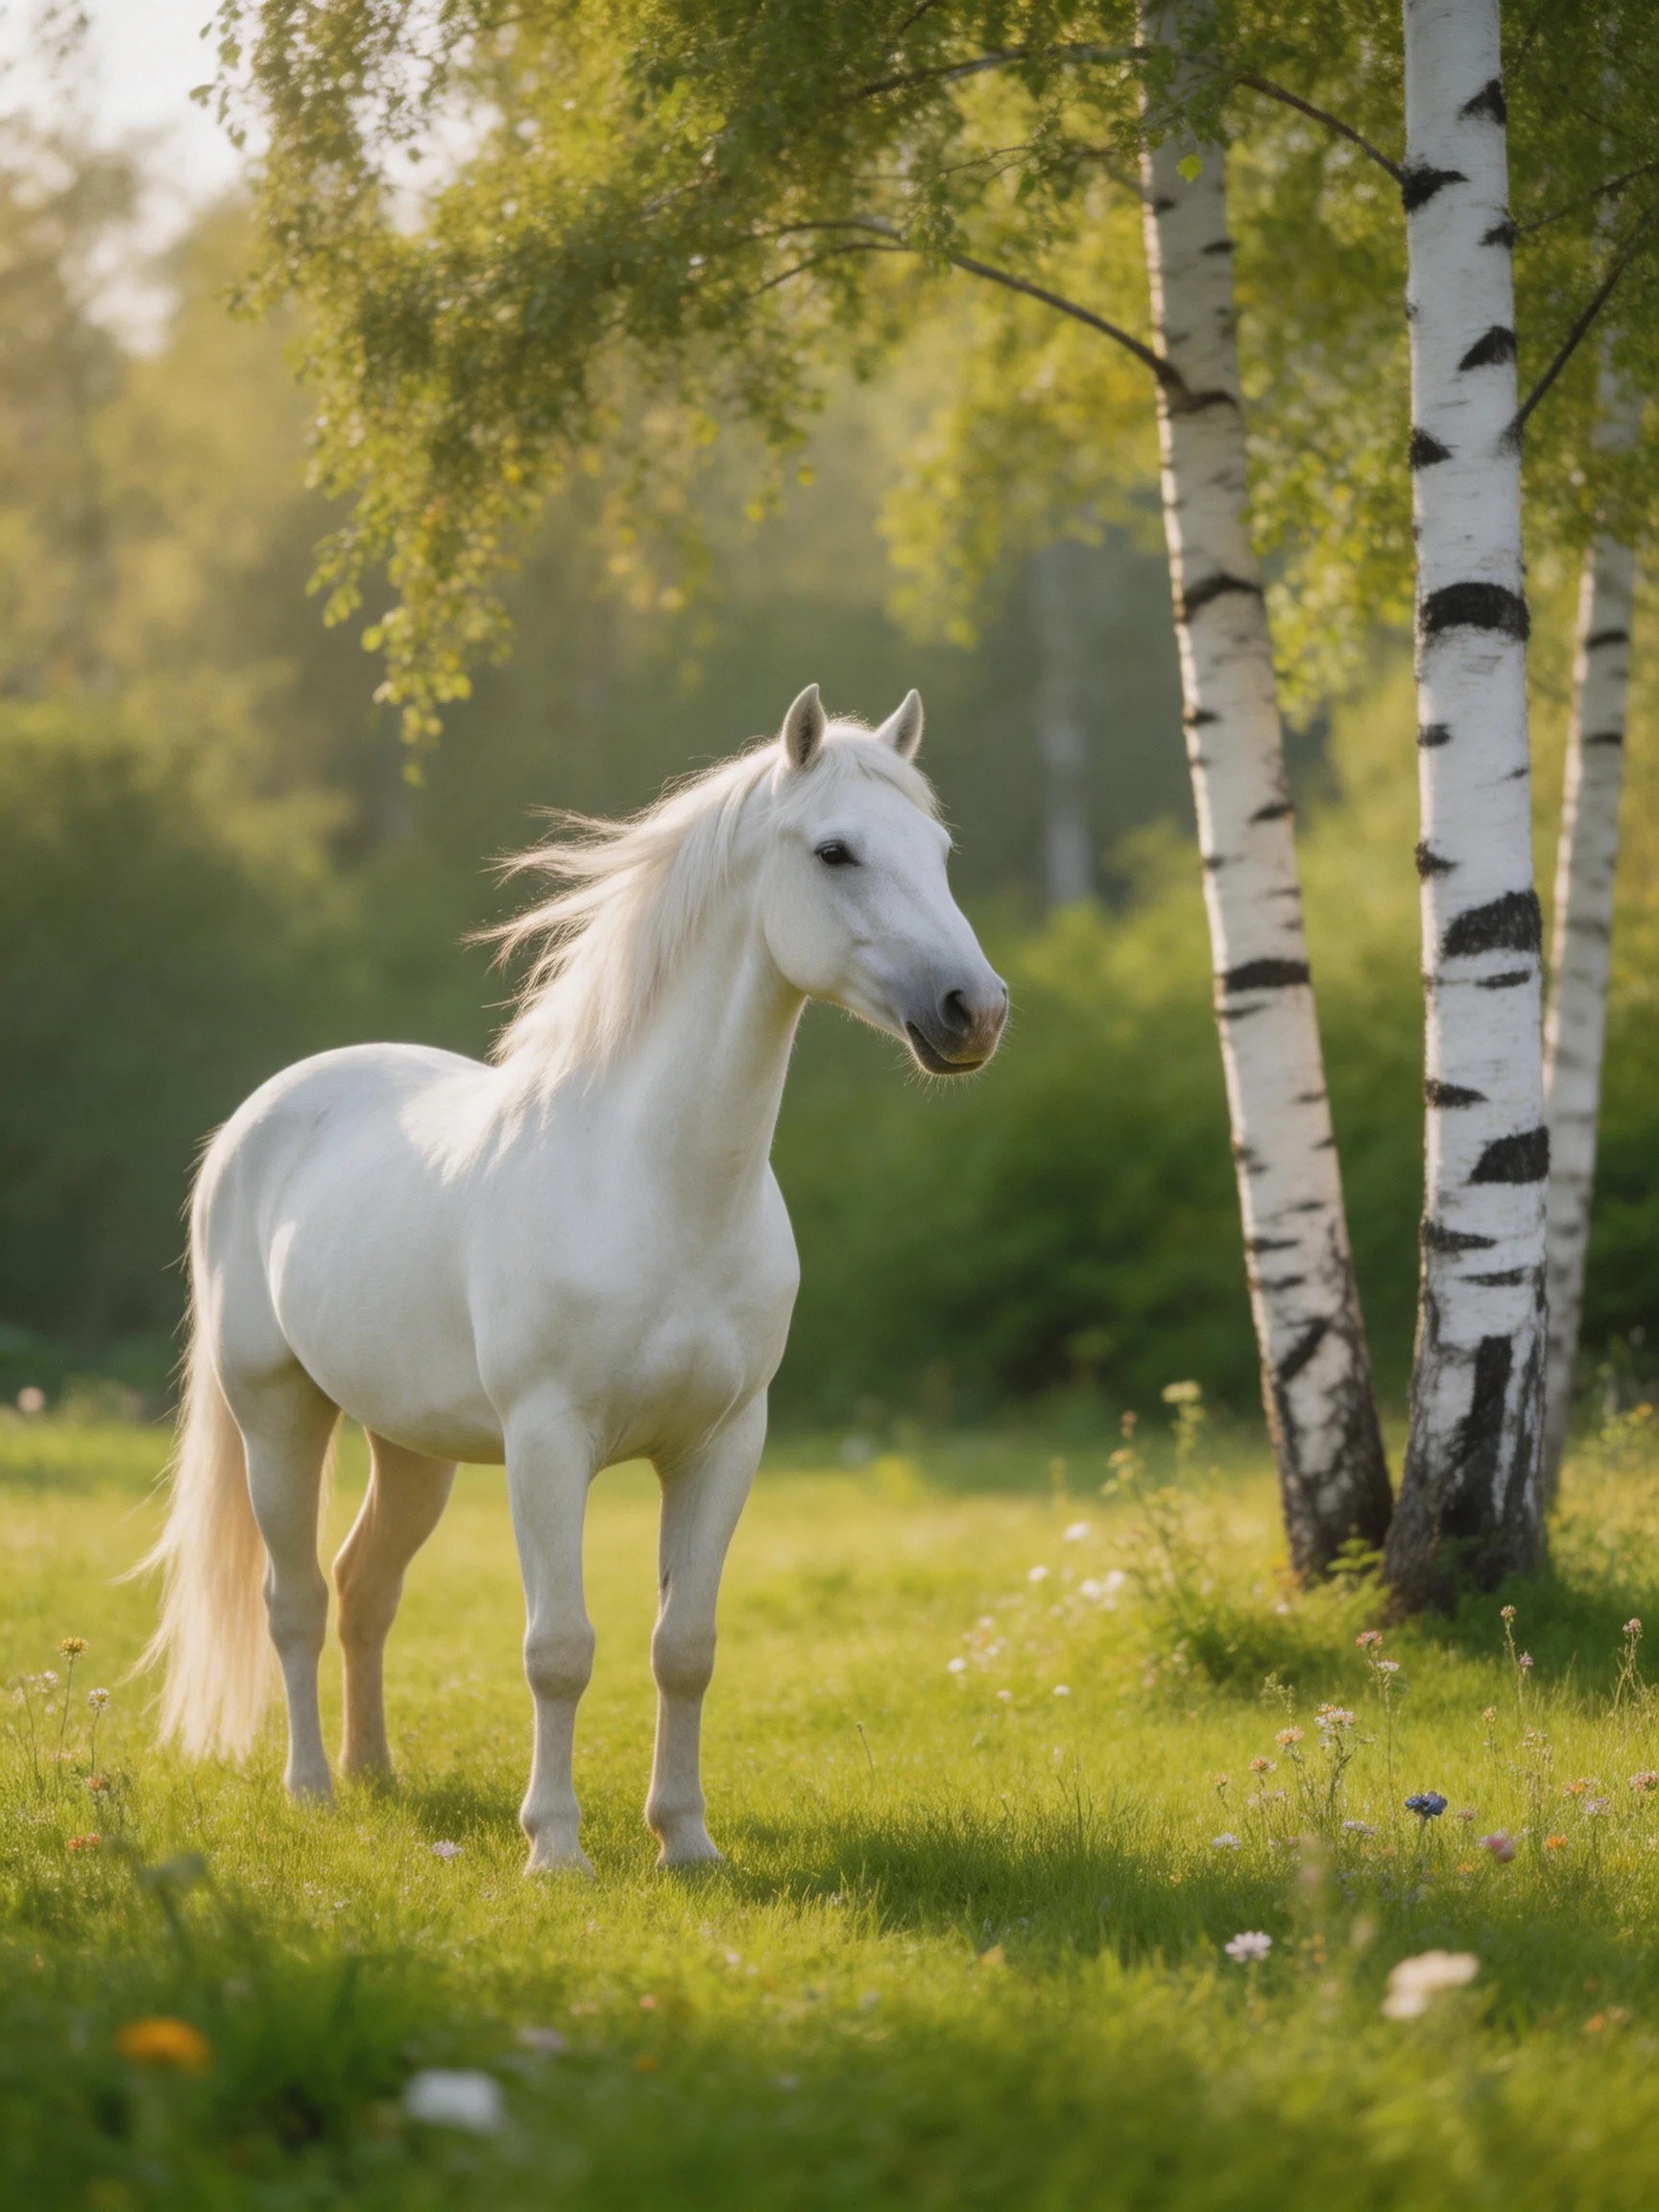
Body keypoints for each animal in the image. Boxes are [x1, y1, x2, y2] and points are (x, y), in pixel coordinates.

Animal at [140, 684, 1007, 1874]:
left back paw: (376, 1775)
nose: (976, 1011)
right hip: (278, 1416)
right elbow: (559, 1647)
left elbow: (685, 1644)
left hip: (412, 1448)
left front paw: (685, 1841)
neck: (658, 1186)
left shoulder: (722, 1444)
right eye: (836, 851)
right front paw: (555, 1847)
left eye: (940, 850)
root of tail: (260, 1116)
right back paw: (312, 1789)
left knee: (367, 1589)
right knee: (296, 1599)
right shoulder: (548, 1444)